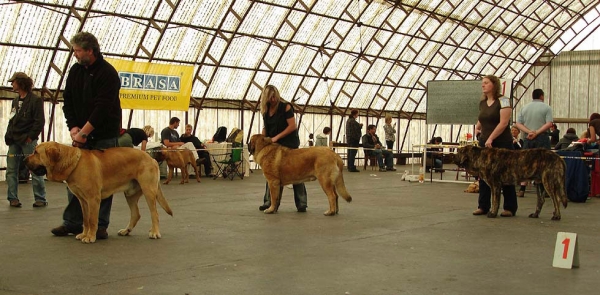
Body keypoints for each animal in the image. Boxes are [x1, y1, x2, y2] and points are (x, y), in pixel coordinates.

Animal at [24, 142, 172, 244]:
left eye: (36, 152)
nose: (25, 160)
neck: (73, 163)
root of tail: (151, 158)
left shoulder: (93, 198)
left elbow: (92, 219)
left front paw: (90, 237)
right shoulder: (82, 200)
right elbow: (85, 219)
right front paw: (84, 234)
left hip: (149, 191)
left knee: (155, 214)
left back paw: (154, 232)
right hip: (130, 194)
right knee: (136, 214)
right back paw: (126, 231)